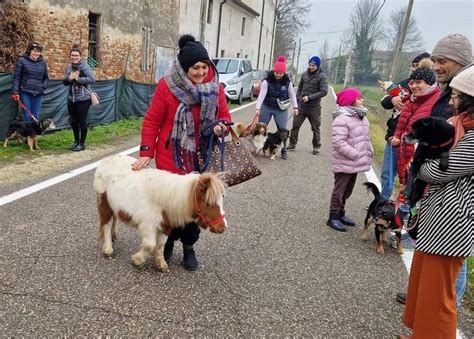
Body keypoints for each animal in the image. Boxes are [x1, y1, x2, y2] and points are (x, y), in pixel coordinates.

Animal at [94, 155, 228, 272]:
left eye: (222, 200)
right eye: (208, 203)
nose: (222, 227)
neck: (165, 199)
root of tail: (107, 159)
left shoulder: (165, 227)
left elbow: (160, 245)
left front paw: (161, 264)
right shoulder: (148, 226)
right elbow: (150, 245)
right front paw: (137, 260)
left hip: (114, 206)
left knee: (114, 219)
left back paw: (114, 236)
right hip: (104, 203)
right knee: (106, 224)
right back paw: (108, 249)